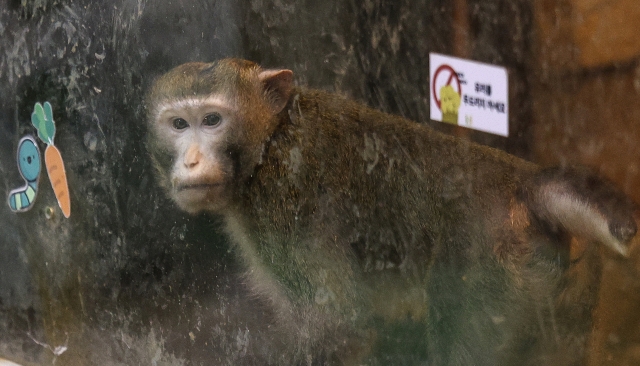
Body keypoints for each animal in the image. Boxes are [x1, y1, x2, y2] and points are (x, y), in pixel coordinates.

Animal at [146, 58, 640, 364]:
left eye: (212, 120)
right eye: (178, 124)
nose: (191, 161)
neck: (270, 139)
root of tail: (520, 184)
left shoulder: (283, 204)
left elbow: (338, 327)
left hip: (490, 274)